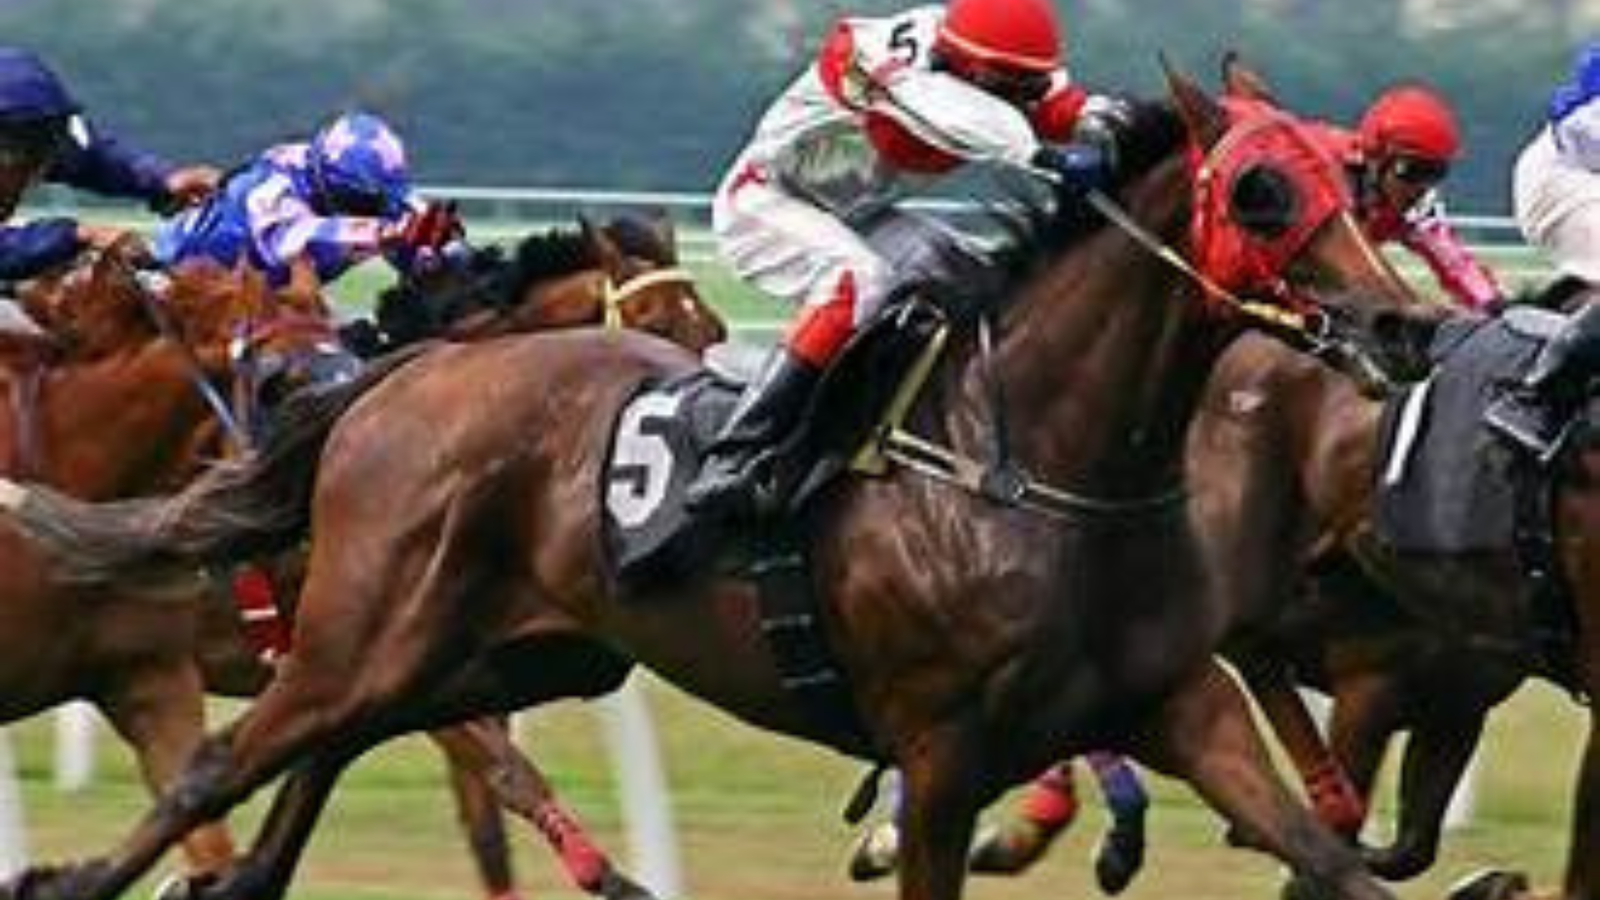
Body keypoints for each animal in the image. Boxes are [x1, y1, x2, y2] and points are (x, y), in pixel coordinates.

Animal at [0, 70, 1427, 900]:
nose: (1403, 323)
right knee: (222, 766)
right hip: (366, 634)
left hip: (496, 654)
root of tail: (399, 386)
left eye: (1352, 179)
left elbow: (1325, 857)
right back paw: (69, 881)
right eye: (1261, 187)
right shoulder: (941, 747)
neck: (1028, 458)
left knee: (325, 769)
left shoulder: (1181, 702)